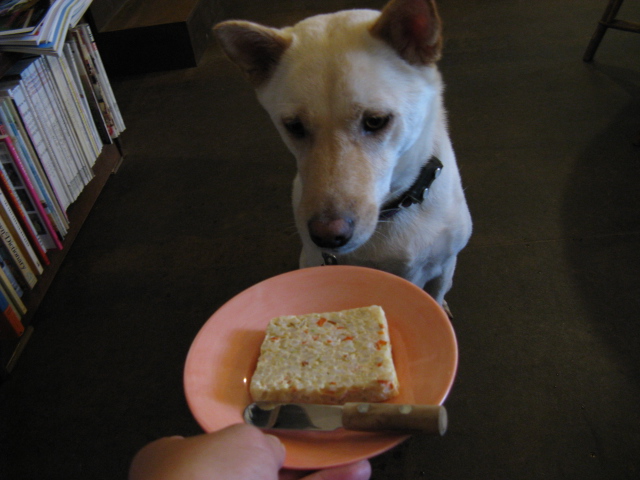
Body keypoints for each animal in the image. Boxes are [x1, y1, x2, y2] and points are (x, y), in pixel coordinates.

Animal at [214, 0, 472, 311]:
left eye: (375, 121)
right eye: (294, 126)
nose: (327, 235)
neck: (394, 210)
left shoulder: (444, 265)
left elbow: (435, 292)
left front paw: (439, 307)